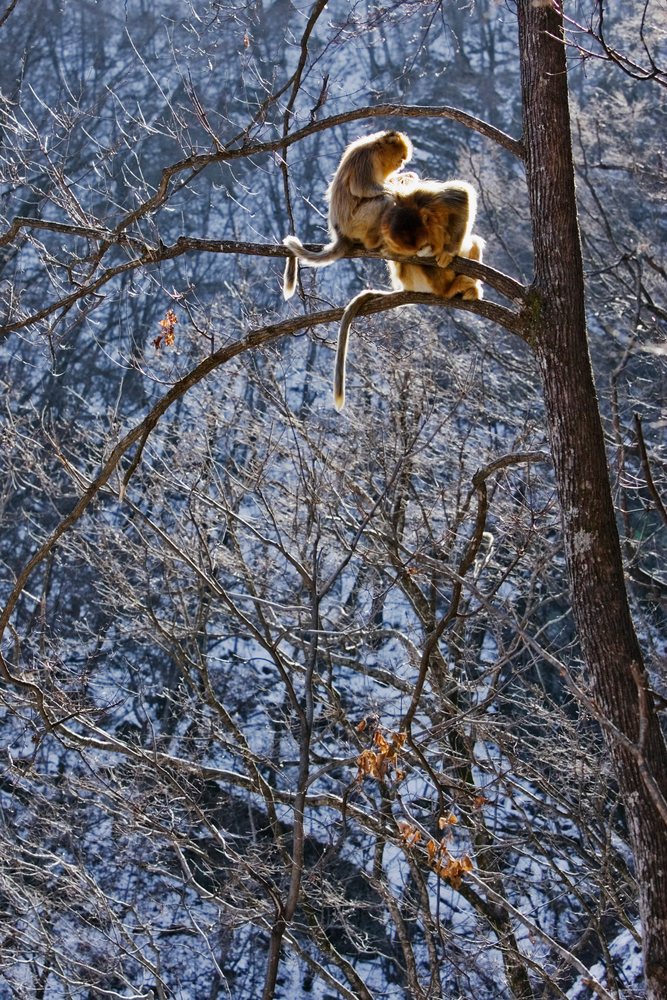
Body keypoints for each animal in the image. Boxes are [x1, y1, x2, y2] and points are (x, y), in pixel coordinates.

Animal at [283, 130, 415, 299]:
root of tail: (340, 233)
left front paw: (408, 177)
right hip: (354, 225)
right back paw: (373, 241)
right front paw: (397, 189)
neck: (376, 149)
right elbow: (361, 188)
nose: (401, 164)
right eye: (401, 158)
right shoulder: (366, 157)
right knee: (384, 199)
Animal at [332, 179, 484, 411]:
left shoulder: (426, 197)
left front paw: (448, 252)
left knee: (473, 242)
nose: (424, 250)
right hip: (415, 280)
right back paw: (448, 289)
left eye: (424, 242)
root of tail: (408, 288)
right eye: (419, 247)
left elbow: (461, 195)